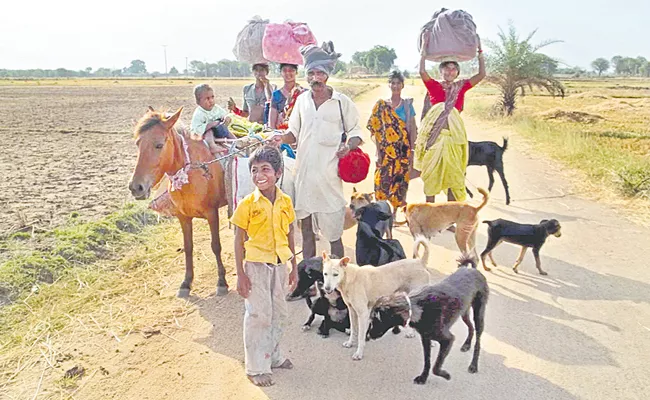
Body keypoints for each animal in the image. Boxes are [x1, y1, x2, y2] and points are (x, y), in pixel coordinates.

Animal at [126, 107, 228, 296]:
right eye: (137, 144)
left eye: (159, 145)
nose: (136, 187)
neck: (192, 172)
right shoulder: (183, 217)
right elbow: (188, 248)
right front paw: (186, 282)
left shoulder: (212, 213)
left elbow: (215, 245)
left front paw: (221, 281)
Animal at [368, 256, 484, 384]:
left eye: (376, 320)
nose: (369, 335)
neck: (417, 308)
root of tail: (473, 270)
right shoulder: (426, 338)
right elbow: (427, 361)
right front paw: (423, 378)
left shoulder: (447, 339)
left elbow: (435, 367)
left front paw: (445, 375)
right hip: (464, 312)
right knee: (470, 327)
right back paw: (466, 345)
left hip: (479, 314)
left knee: (478, 340)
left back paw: (473, 365)